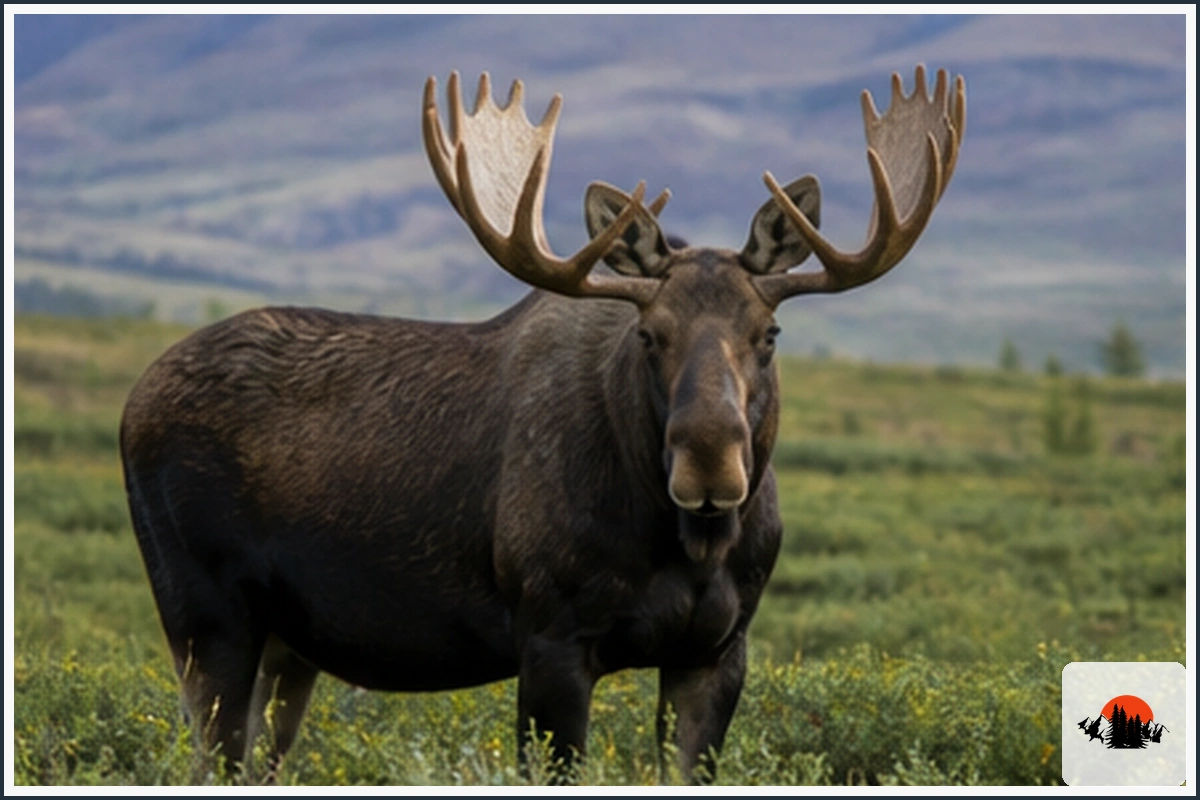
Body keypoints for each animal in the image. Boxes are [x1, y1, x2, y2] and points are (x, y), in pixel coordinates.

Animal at [120, 65, 964, 784]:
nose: (710, 468)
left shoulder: (719, 649)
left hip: (290, 643)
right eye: (649, 334)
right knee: (210, 758)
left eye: (770, 334)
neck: (686, 547)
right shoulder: (552, 639)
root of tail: (132, 403)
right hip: (206, 616)